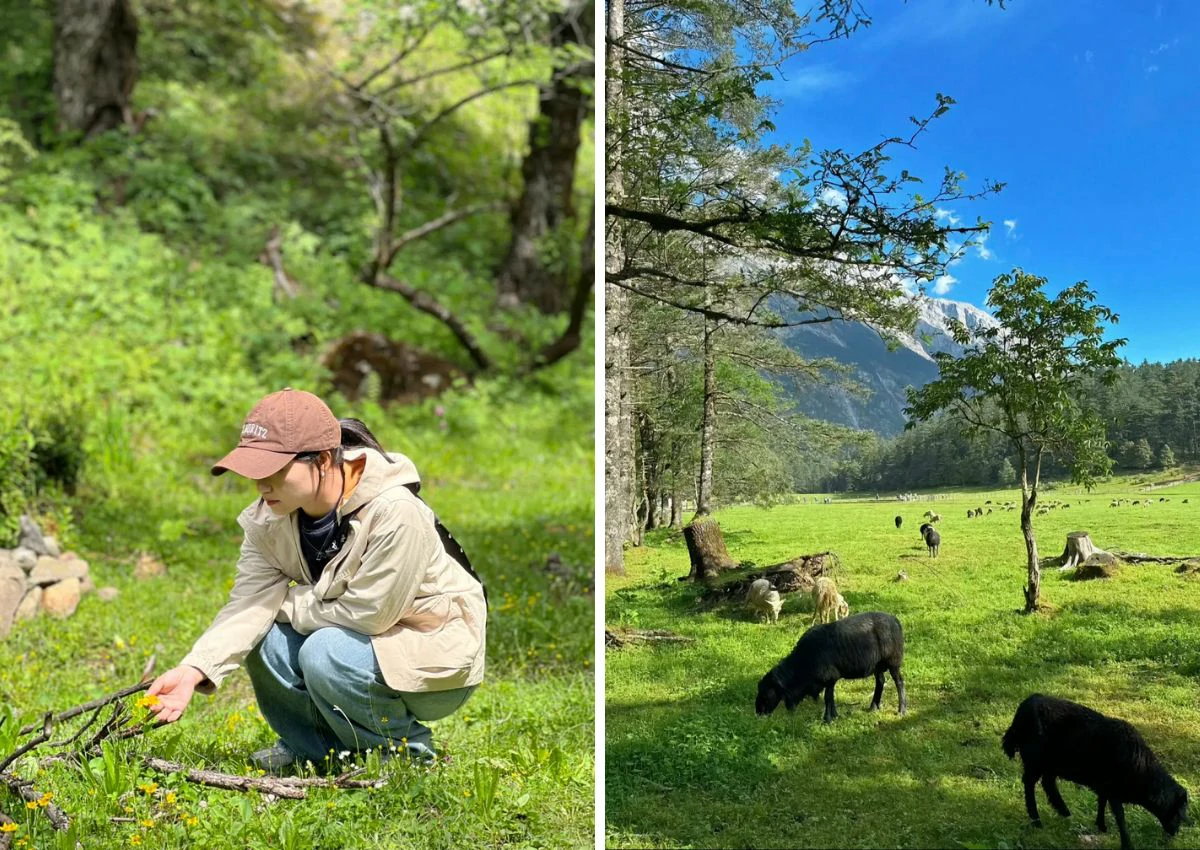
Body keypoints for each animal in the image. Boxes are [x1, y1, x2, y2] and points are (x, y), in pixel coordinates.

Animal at [753, 609, 902, 725]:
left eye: (766, 694)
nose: (758, 712)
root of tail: (895, 620)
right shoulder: (830, 679)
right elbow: (831, 698)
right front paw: (834, 716)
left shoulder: (829, 677)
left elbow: (827, 698)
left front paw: (827, 719)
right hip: (877, 665)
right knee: (880, 681)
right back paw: (873, 706)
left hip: (893, 661)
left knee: (899, 682)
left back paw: (902, 710)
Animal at [1003, 696, 1190, 845]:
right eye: (1178, 811)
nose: (1174, 835)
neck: (1143, 773)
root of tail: (1023, 708)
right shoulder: (1114, 789)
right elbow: (1120, 817)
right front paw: (1126, 843)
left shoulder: (1105, 784)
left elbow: (1101, 801)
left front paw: (1101, 826)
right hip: (1035, 758)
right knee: (1029, 784)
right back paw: (1036, 820)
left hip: (1052, 762)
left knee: (1048, 783)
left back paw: (1065, 813)